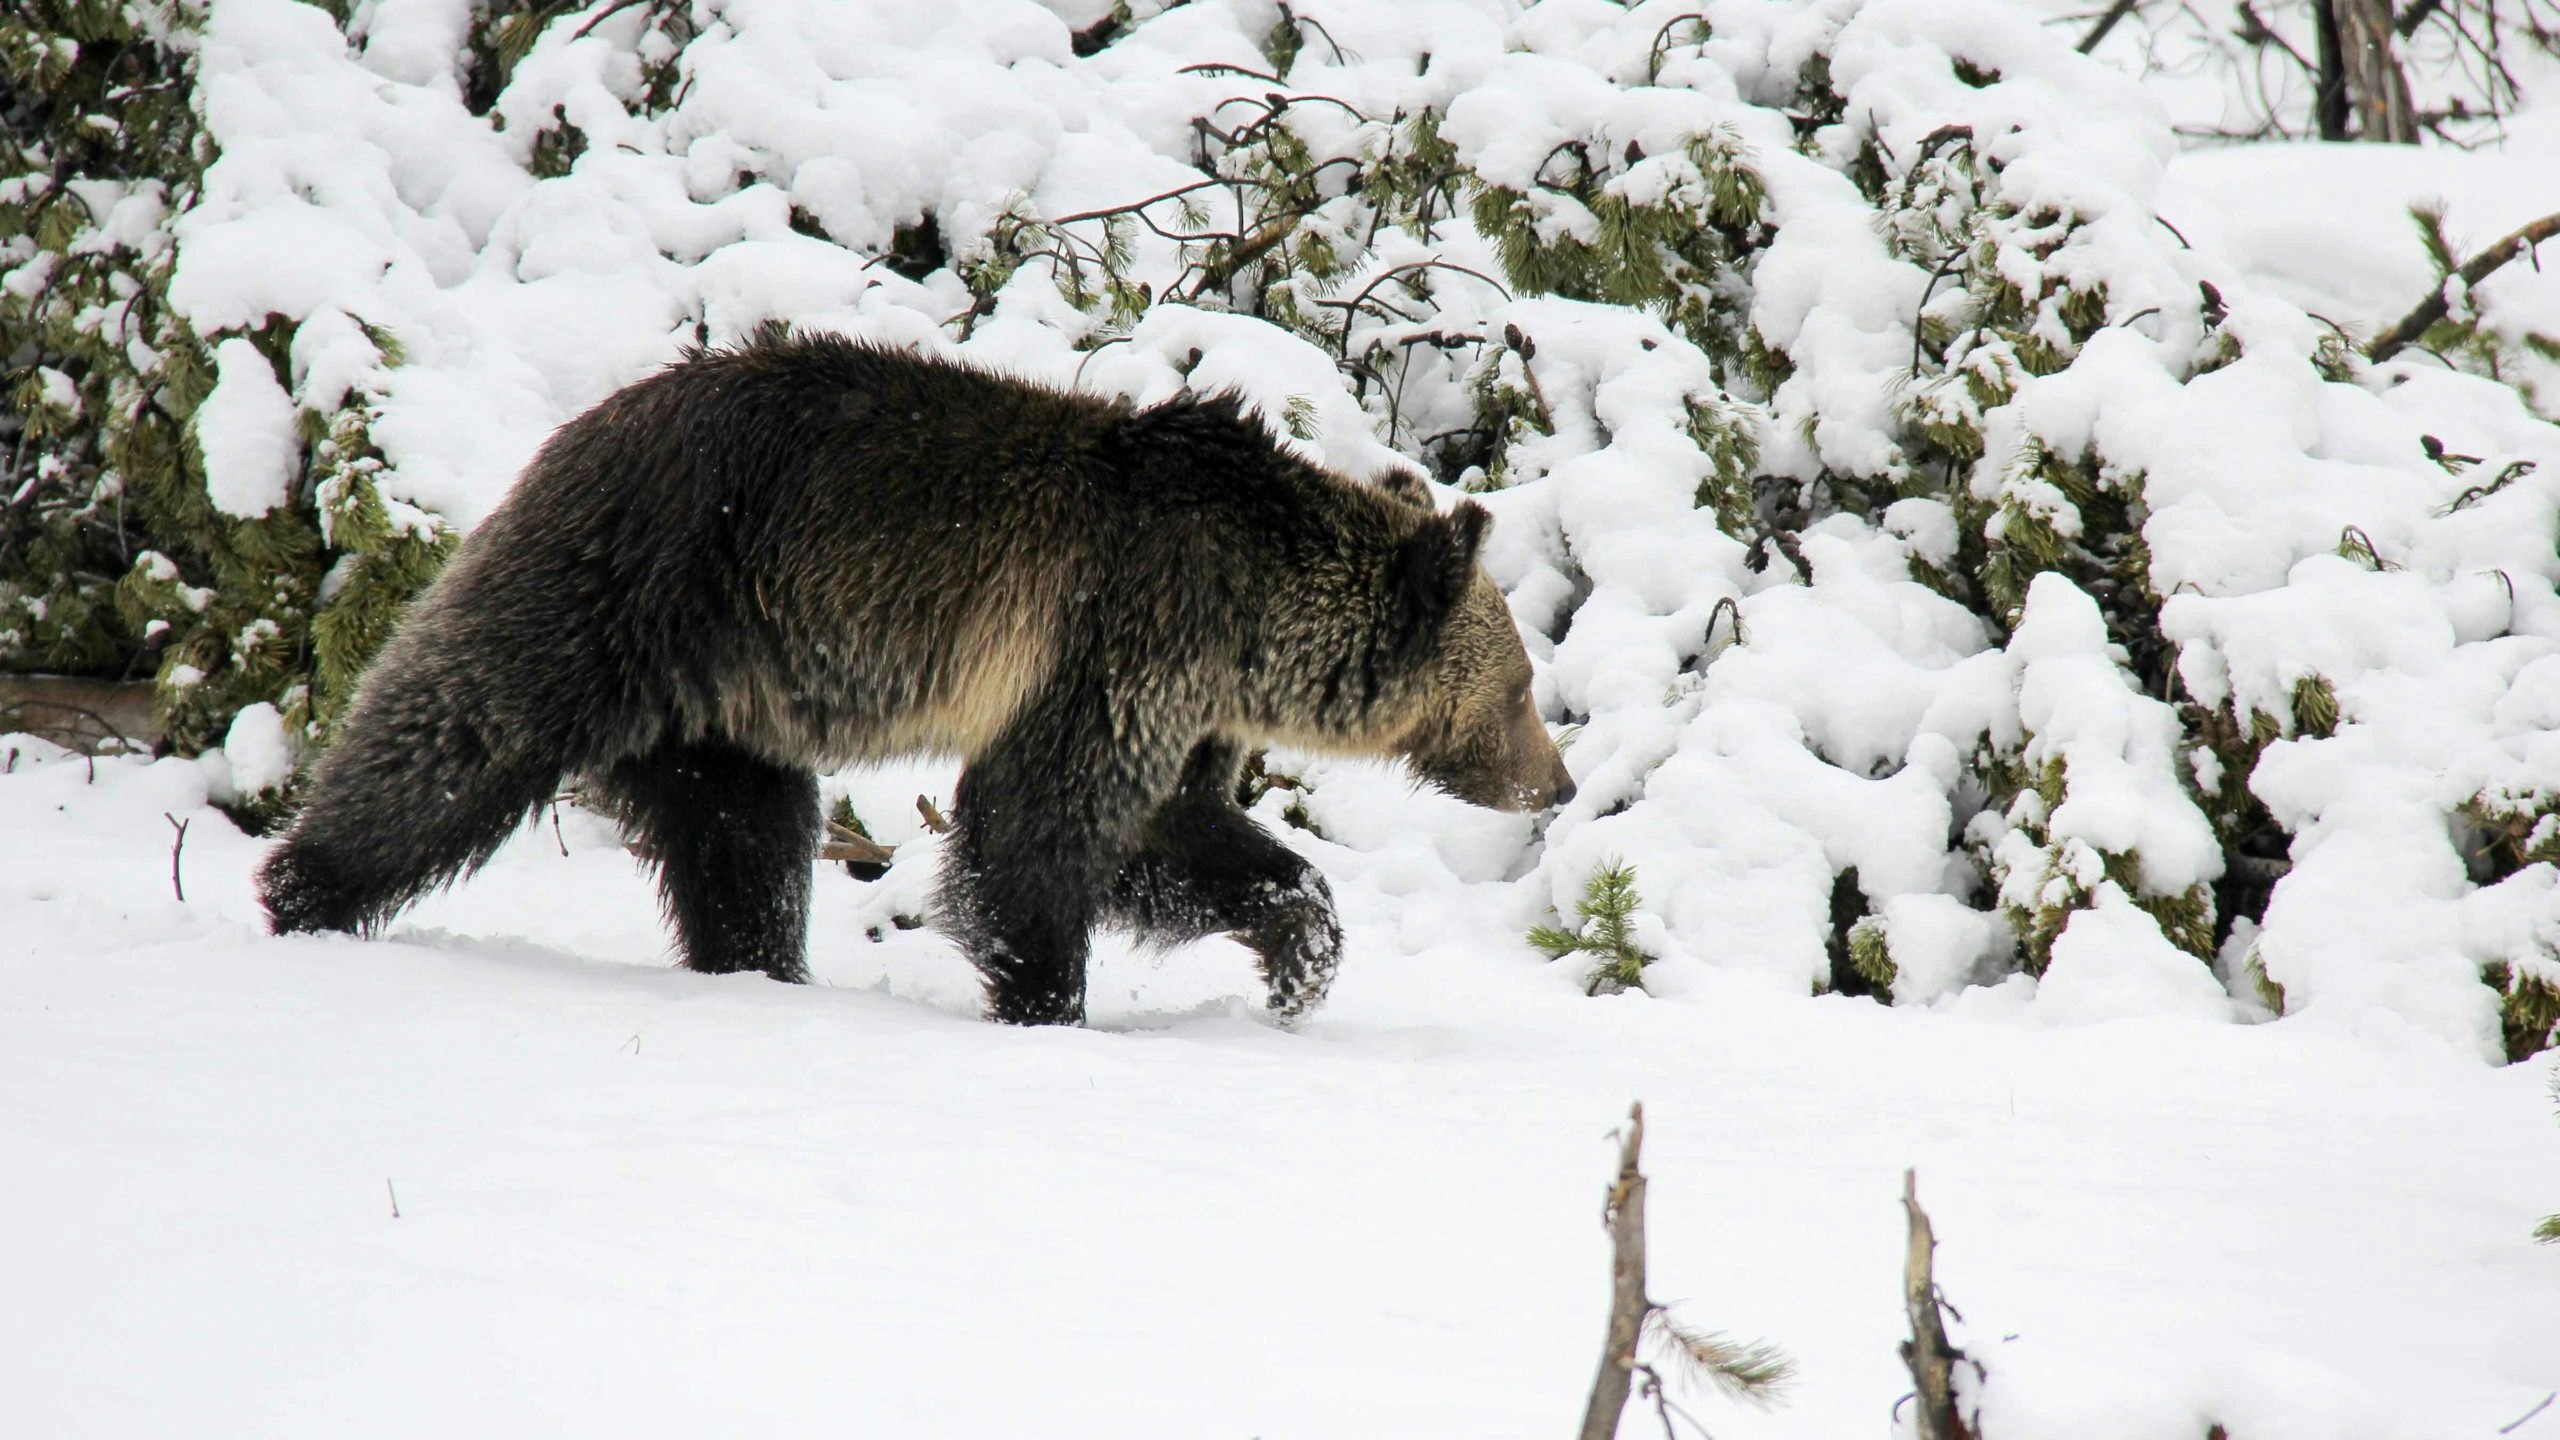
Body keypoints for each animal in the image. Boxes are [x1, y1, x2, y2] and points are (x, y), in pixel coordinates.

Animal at [258, 330, 1573, 1025]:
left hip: (726, 704)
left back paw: (759, 967)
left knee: (741, 838)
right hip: (632, 583)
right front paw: (1047, 1000)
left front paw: (1299, 956)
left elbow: (1171, 839)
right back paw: (303, 894)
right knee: (456, 734)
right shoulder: (1115, 634)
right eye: (1517, 689)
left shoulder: (1178, 701)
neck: (1250, 615)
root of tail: (581, 423)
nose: (1555, 785)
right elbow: (1031, 830)